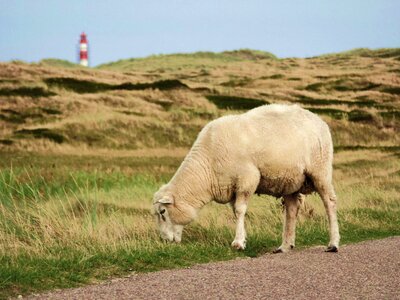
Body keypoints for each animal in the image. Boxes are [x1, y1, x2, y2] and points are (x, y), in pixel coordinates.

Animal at [152, 104, 340, 252]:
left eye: (162, 212)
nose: (164, 241)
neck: (207, 165)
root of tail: (319, 120)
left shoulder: (247, 178)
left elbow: (240, 210)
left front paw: (238, 243)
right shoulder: (230, 187)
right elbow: (235, 212)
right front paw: (241, 238)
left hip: (320, 170)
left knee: (329, 202)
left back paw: (333, 243)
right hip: (290, 180)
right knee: (292, 210)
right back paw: (285, 246)